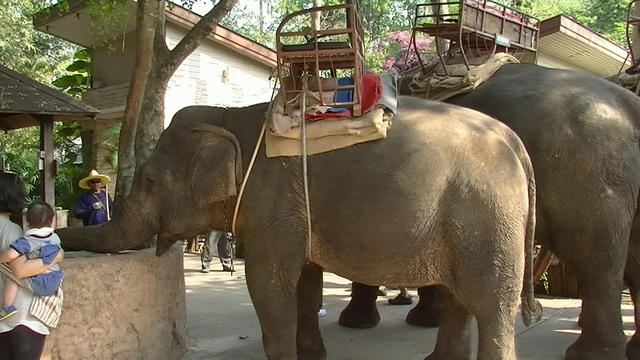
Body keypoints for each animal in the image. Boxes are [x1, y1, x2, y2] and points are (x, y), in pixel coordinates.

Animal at [58, 95, 540, 360]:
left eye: (151, 181)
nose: (51, 230)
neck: (229, 116)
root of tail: (516, 143)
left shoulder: (270, 200)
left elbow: (268, 283)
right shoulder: (293, 208)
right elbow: (305, 281)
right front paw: (312, 355)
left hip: (488, 218)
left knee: (491, 304)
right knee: (461, 297)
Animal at [344, 62, 640, 360]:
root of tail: (629, 103)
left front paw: (357, 323)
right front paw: (422, 319)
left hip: (589, 178)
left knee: (596, 261)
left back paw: (592, 353)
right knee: (630, 261)